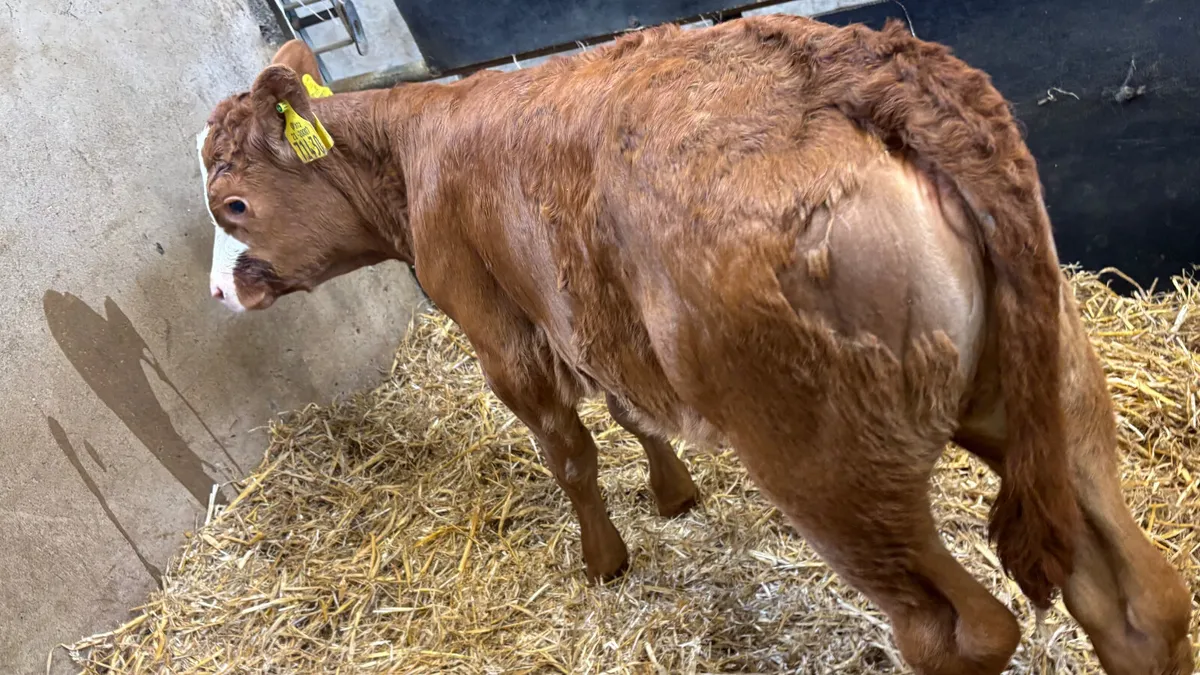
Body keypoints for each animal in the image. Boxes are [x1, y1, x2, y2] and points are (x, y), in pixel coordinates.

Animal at [198, 17, 1193, 675]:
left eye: (233, 205)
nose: (215, 291)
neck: (417, 154)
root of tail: (856, 71)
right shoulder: (587, 312)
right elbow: (632, 408)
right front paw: (674, 493)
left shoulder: (503, 333)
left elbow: (568, 450)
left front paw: (605, 558)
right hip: (1051, 392)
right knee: (1139, 594)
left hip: (828, 465)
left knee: (962, 630)